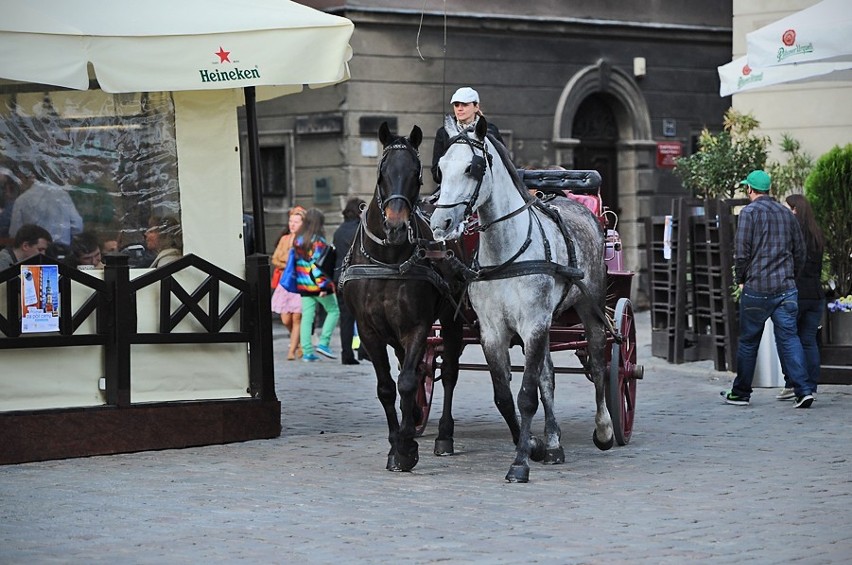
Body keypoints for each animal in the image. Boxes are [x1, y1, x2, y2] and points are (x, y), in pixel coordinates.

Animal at [338, 123, 466, 472]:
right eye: (382, 173)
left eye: (416, 176)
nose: (395, 226)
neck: (387, 259)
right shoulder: (368, 330)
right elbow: (386, 387)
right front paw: (396, 442)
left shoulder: (417, 325)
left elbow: (407, 382)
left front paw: (406, 447)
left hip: (451, 317)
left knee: (449, 373)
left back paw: (444, 435)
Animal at [432, 114, 612, 480]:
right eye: (440, 168)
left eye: (473, 167)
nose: (440, 222)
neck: (507, 252)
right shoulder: (493, 332)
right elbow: (505, 396)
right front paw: (533, 445)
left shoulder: (534, 323)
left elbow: (527, 395)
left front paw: (520, 462)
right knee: (548, 376)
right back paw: (554, 443)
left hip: (591, 306)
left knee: (599, 359)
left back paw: (604, 429)